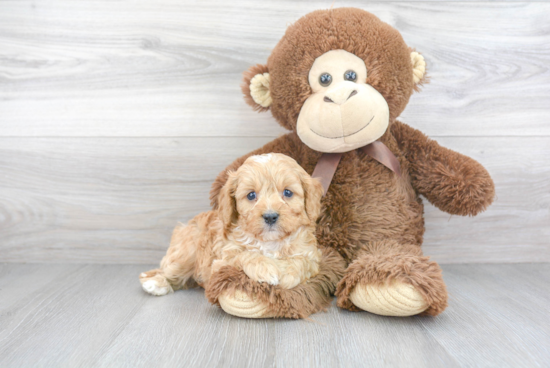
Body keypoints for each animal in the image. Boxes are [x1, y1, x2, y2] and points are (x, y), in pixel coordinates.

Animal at [140, 152, 326, 296]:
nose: (270, 216)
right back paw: (156, 283)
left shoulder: (312, 256)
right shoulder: (221, 261)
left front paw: (288, 273)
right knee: (167, 270)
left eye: (287, 192)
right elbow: (244, 255)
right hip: (187, 252)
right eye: (251, 195)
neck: (270, 242)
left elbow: (303, 261)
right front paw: (266, 268)